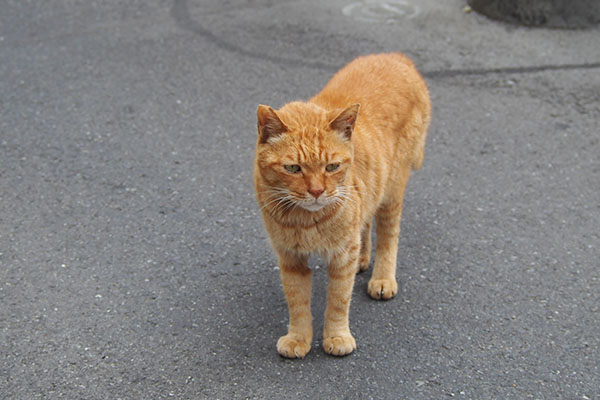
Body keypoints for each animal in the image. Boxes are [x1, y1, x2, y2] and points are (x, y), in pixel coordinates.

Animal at [253, 52, 432, 356]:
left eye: (332, 166)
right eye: (293, 169)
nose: (316, 191)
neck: (305, 220)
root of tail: (397, 57)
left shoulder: (341, 255)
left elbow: (338, 300)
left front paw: (337, 337)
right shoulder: (289, 257)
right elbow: (297, 302)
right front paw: (299, 338)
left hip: (392, 190)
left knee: (389, 236)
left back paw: (382, 279)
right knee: (366, 222)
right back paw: (363, 258)